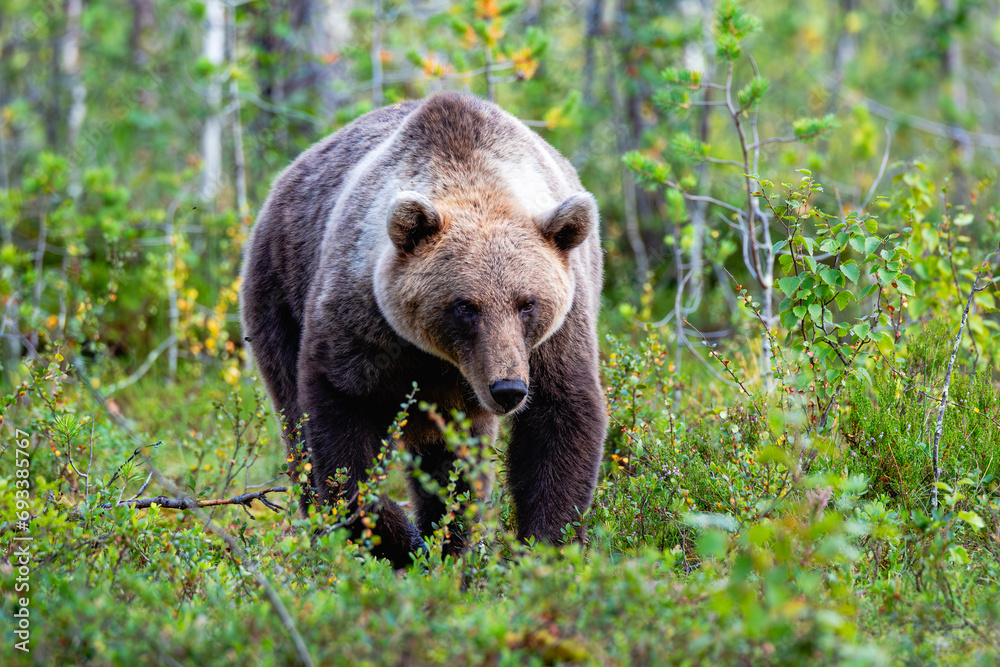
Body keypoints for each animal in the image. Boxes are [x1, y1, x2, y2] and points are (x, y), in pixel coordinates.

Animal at [240, 92, 607, 568]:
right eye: (465, 306)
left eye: (527, 303)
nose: (508, 388)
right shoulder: (361, 317)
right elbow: (339, 422)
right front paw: (398, 540)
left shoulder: (557, 335)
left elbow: (560, 417)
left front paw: (542, 550)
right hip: (278, 292)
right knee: (294, 422)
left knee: (452, 460)